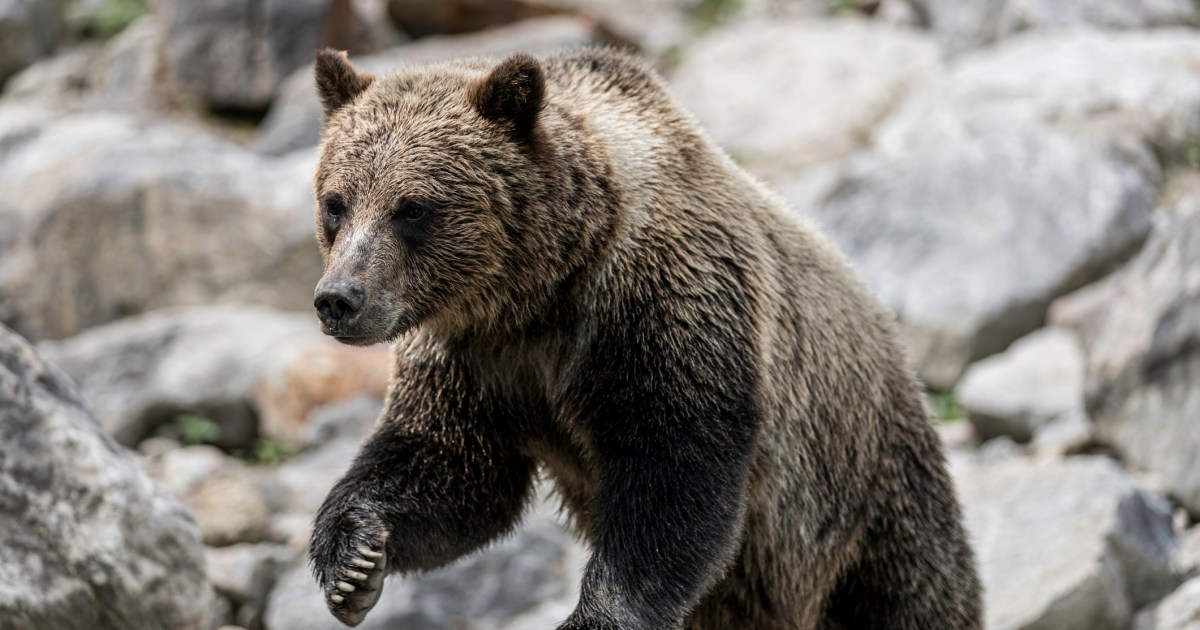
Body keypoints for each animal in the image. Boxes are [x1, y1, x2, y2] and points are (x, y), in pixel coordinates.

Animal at [307, 46, 983, 630]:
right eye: (336, 203)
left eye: (413, 208)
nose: (339, 299)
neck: (538, 295)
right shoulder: (476, 358)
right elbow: (452, 465)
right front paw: (354, 559)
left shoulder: (659, 307)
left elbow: (673, 469)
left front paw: (597, 616)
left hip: (860, 484)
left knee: (913, 588)